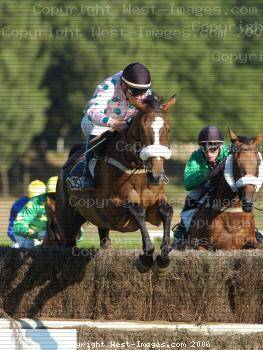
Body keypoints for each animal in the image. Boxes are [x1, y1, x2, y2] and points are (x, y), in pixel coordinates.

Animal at [57, 94, 178, 274]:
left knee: (104, 240)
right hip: (68, 221)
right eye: (142, 129)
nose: (157, 175)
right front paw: (146, 257)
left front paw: (163, 259)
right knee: (67, 242)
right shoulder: (111, 209)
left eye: (168, 129)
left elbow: (166, 211)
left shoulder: (155, 202)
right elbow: (137, 210)